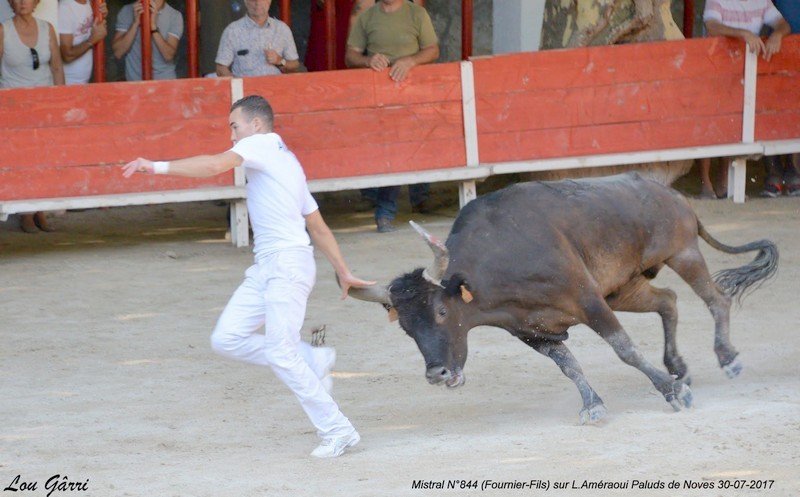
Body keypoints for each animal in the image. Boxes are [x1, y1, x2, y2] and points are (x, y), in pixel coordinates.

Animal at [346, 173, 780, 422]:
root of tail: (669, 192)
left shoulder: (589, 301)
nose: (436, 374)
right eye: (405, 329)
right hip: (624, 288)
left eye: (440, 310)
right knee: (669, 300)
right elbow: (569, 366)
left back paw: (727, 358)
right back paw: (678, 366)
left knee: (716, 299)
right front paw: (593, 404)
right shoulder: (533, 331)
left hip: (683, 252)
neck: (500, 260)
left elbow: (624, 348)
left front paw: (673, 393)